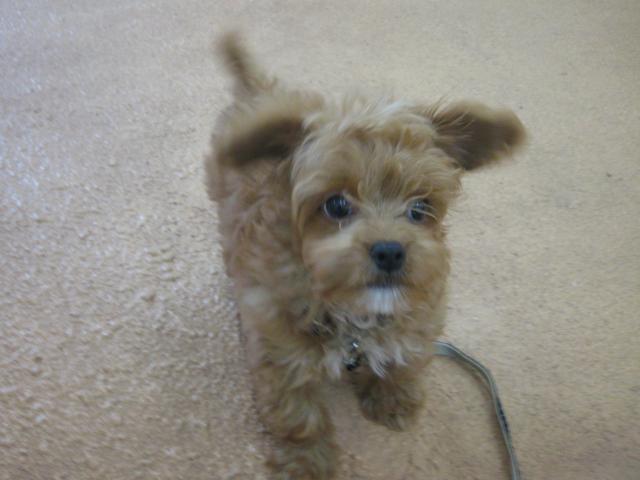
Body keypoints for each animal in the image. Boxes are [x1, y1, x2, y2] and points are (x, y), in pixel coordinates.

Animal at [205, 33, 525, 480]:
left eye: (420, 208)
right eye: (336, 205)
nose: (390, 250)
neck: (350, 311)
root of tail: (258, 89)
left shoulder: (422, 308)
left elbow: (406, 357)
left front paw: (393, 400)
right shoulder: (278, 351)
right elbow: (297, 416)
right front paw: (305, 464)